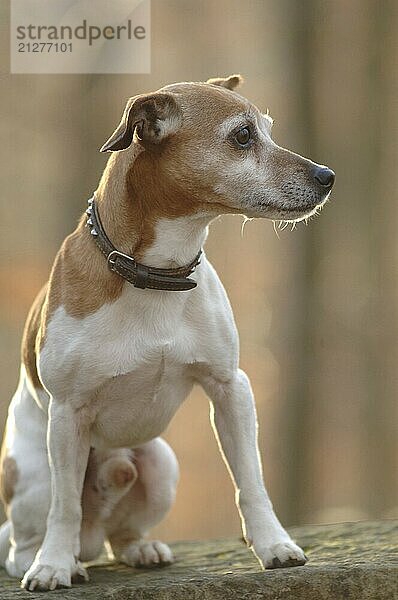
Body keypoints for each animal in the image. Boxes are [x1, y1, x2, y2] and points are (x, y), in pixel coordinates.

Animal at [0, 75, 336, 592]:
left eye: (269, 129)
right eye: (243, 135)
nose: (326, 175)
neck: (156, 274)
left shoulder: (230, 388)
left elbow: (251, 481)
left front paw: (274, 545)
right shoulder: (68, 414)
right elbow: (66, 504)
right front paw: (52, 566)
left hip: (160, 466)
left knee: (121, 533)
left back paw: (141, 549)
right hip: (33, 475)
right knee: (35, 533)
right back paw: (56, 559)